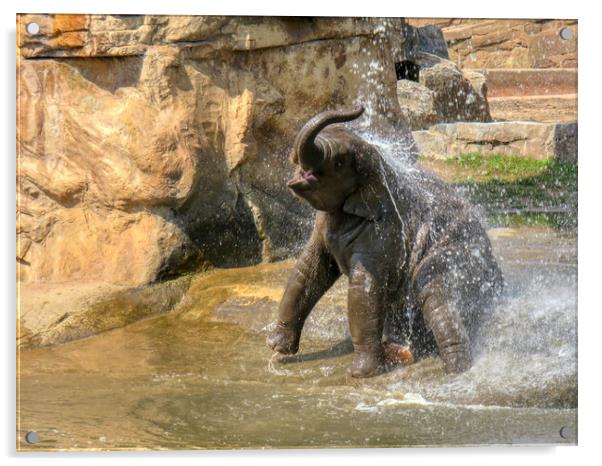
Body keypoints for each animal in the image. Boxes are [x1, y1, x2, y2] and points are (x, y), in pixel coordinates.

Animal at [264, 106, 500, 378]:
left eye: (339, 162)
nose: (359, 109)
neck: (380, 167)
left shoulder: (384, 232)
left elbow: (364, 287)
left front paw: (361, 374)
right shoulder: (325, 227)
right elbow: (308, 270)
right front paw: (277, 348)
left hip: (460, 258)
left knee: (432, 287)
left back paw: (455, 371)